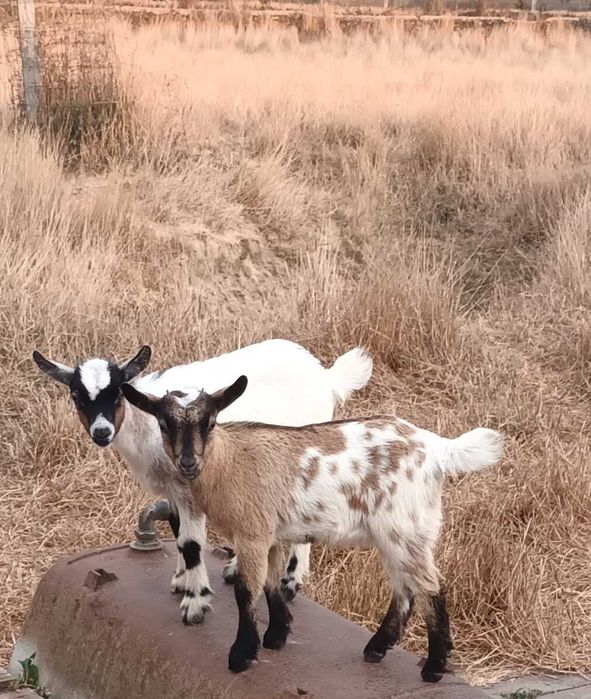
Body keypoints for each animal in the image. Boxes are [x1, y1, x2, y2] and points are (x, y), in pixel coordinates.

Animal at [33, 340, 373, 624]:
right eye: (76, 396)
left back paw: (291, 581)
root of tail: (326, 376)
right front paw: (182, 580)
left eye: (116, 392)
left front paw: (195, 603)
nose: (102, 432)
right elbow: (177, 531)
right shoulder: (173, 490)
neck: (145, 425)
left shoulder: (188, 487)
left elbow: (191, 542)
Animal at [122, 375, 503, 679]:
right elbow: (271, 583)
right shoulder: (270, 535)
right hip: (397, 533)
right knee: (404, 588)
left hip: (405, 525)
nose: (188, 462)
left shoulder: (252, 532)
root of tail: (437, 447)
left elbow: (246, 590)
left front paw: (242, 655)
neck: (229, 461)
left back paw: (434, 667)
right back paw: (377, 648)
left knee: (431, 586)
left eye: (211, 422)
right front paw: (276, 636)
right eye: (163, 424)